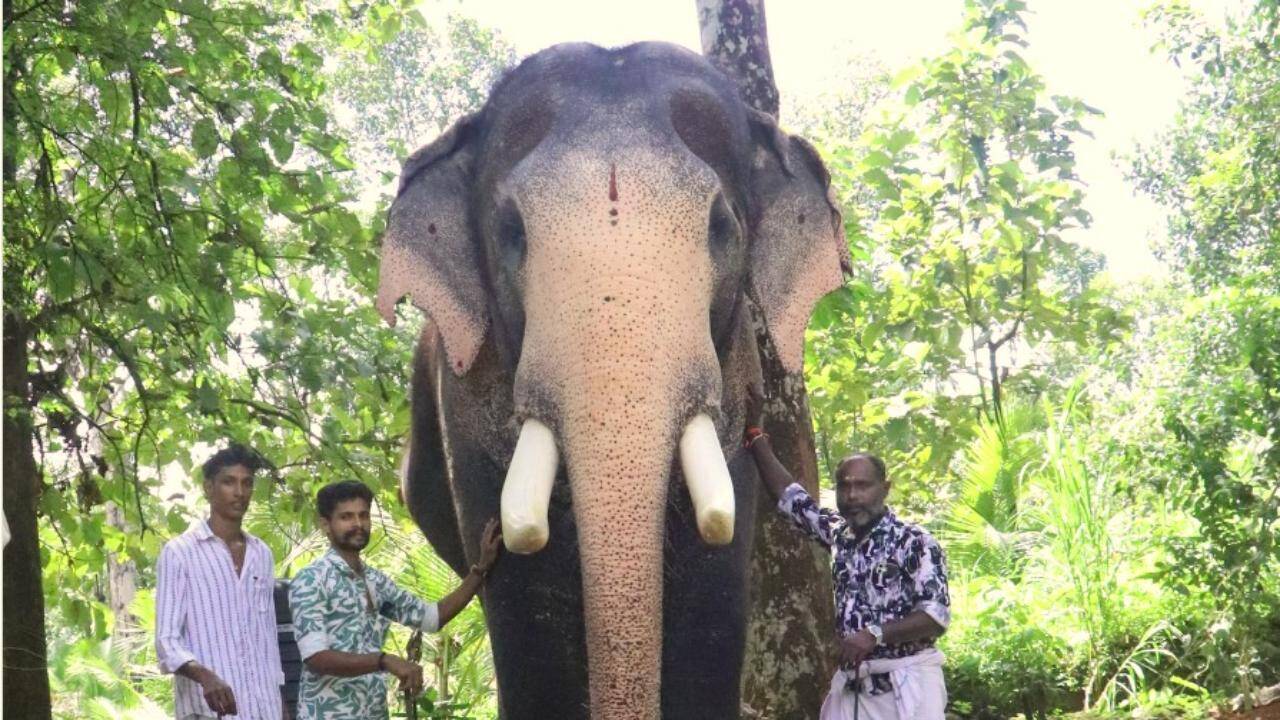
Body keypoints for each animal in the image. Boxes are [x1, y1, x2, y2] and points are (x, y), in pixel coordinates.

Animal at [376, 41, 850, 720]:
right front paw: (499, 552)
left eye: (722, 227)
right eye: (511, 232)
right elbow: (526, 594)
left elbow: (712, 579)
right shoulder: (463, 392)